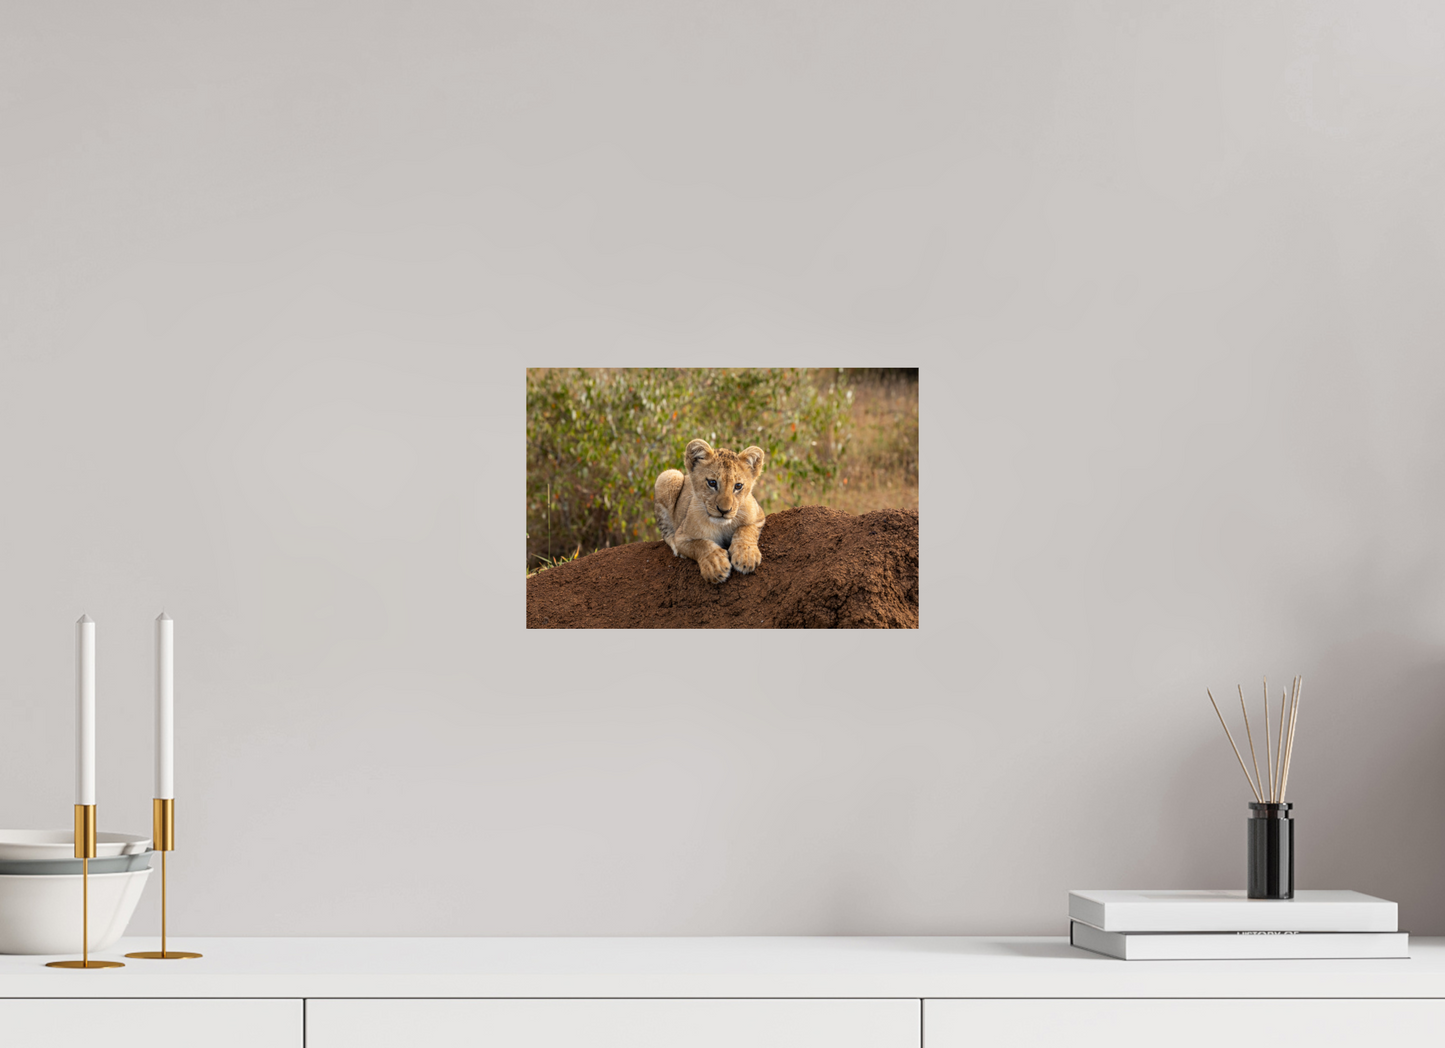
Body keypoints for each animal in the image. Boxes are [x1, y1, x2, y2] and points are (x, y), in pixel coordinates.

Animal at [654, 438, 766, 584]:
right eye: (712, 483)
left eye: (738, 486)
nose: (724, 510)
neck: (722, 526)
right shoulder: (682, 537)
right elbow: (700, 544)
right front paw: (716, 564)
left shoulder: (759, 516)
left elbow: (746, 530)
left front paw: (745, 556)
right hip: (669, 476)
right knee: (666, 531)